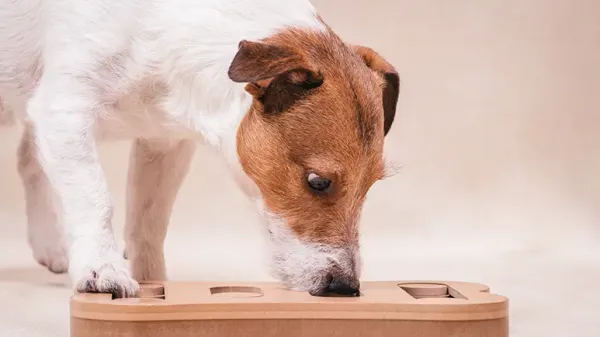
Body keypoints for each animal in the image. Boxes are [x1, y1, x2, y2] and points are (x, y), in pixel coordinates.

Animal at [1, 0, 398, 296]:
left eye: (370, 186)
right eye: (317, 182)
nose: (345, 287)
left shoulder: (164, 144)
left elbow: (150, 221)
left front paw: (154, 282)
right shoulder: (66, 112)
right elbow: (96, 197)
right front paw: (101, 270)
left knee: (28, 159)